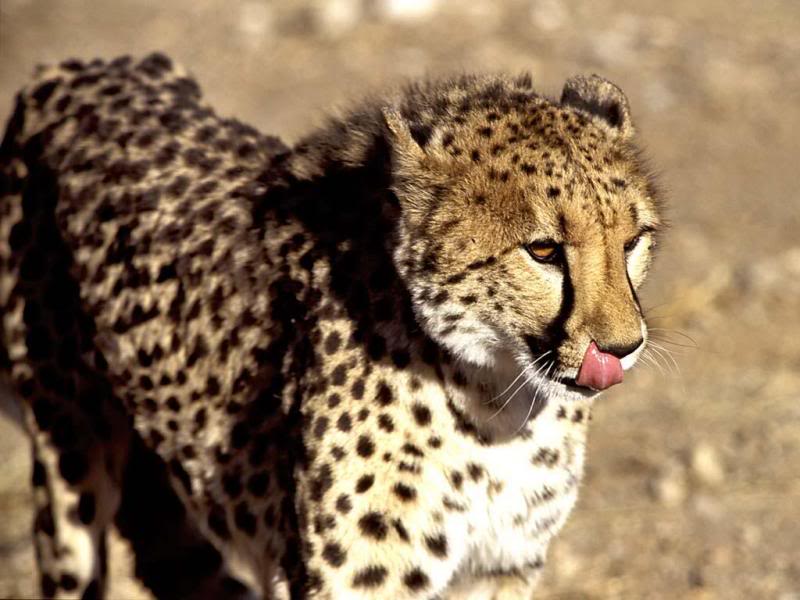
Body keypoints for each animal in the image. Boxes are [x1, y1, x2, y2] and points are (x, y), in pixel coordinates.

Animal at [0, 53, 663, 600]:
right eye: (544, 250)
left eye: (633, 241)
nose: (624, 346)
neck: (496, 399)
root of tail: (75, 68)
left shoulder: (500, 567)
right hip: (67, 456)